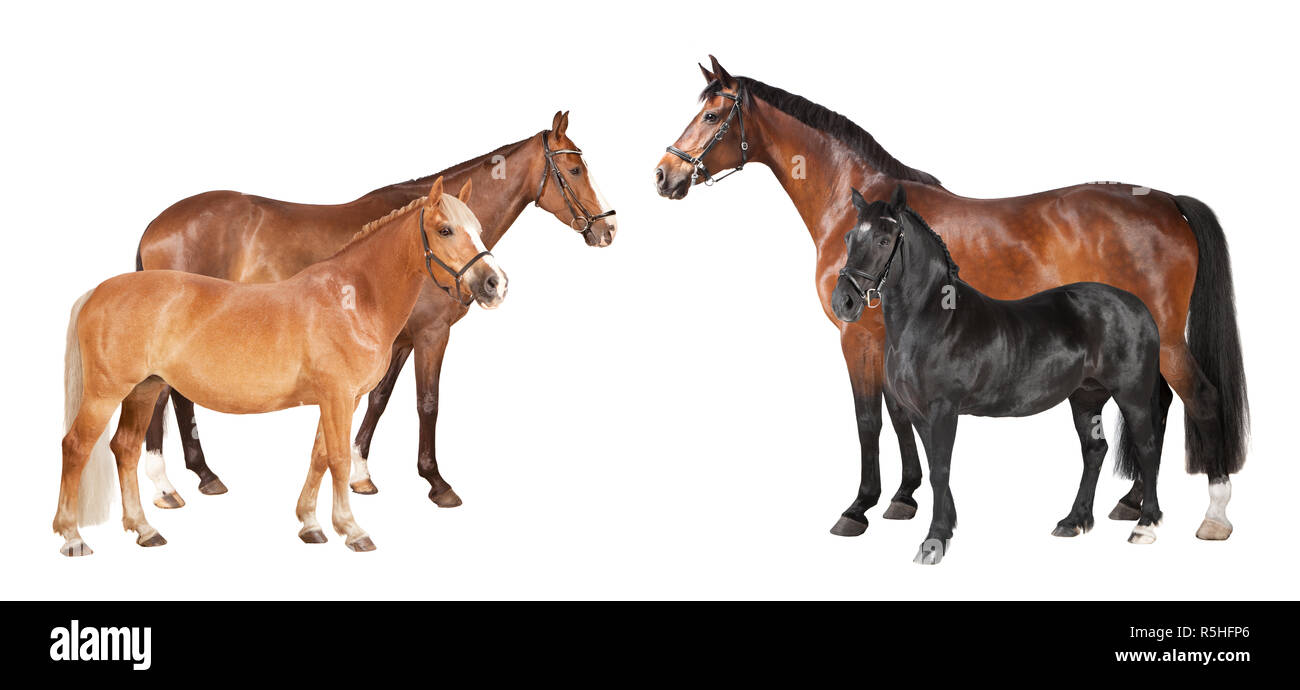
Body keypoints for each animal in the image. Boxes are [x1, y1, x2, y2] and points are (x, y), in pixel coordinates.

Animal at [57, 177, 504, 556]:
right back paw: (73, 537)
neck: (353, 298)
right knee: (76, 446)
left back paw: (146, 529)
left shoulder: (339, 400)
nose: (494, 283)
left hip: (144, 389)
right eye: (445, 230)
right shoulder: (339, 396)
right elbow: (339, 459)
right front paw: (352, 530)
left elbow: (319, 456)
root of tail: (98, 292)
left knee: (125, 448)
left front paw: (311, 524)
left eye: (479, 227)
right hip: (105, 393)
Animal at [137, 111, 615, 509]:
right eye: (575, 169)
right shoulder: (432, 334)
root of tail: (155, 226)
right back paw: (166, 485)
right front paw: (436, 482)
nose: (608, 228)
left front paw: (360, 473)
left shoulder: (398, 340)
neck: (415, 245)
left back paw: (203, 474)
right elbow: (428, 403)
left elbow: (379, 398)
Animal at [832, 186, 1165, 564]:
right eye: (849, 237)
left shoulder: (943, 410)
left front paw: (933, 541)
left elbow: (940, 470)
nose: (844, 301)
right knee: (1095, 451)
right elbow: (935, 466)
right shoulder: (919, 414)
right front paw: (947, 527)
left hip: (1132, 396)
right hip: (1086, 398)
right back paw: (1073, 521)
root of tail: (1139, 308)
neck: (934, 319)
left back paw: (1145, 524)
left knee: (1148, 448)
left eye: (884, 240)